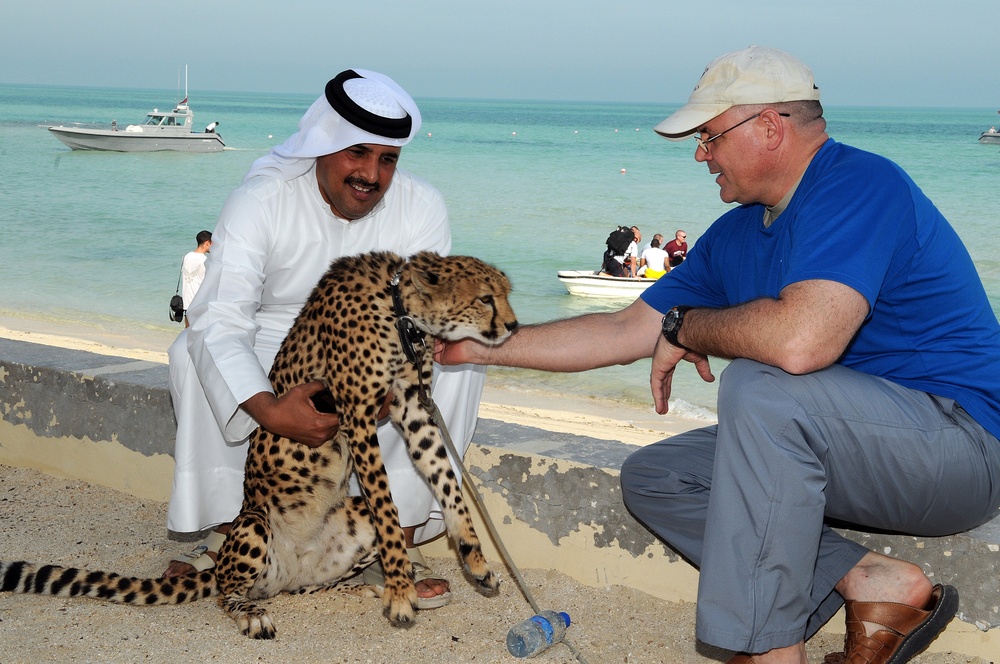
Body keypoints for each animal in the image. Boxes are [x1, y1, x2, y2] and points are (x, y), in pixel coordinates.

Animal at [0, 250, 516, 640]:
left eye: (506, 294)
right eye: (486, 298)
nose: (512, 327)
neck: (399, 309)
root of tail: (290, 568)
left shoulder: (412, 408)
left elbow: (447, 481)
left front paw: (474, 559)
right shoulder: (357, 415)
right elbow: (390, 510)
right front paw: (402, 592)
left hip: (342, 532)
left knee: (302, 589)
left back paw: (354, 589)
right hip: (252, 526)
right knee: (228, 594)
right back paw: (252, 614)